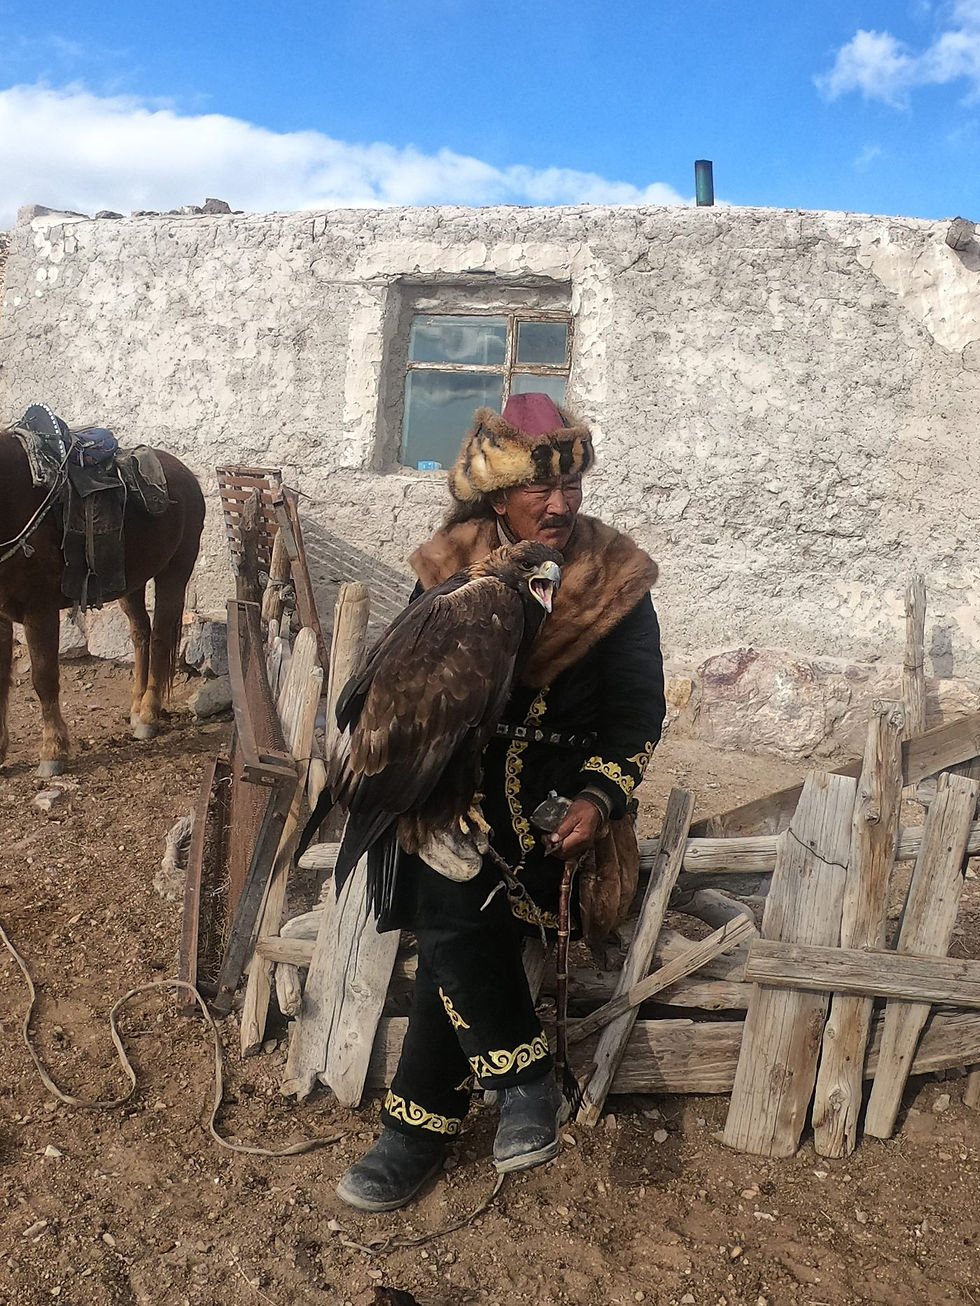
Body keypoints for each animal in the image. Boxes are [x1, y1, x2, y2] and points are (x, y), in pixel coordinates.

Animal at [0, 429, 206, 776]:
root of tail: (185, 475)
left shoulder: (39, 611)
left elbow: (44, 678)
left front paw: (53, 752)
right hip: (129, 582)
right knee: (141, 634)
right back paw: (136, 708)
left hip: (175, 572)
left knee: (161, 638)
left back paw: (148, 716)